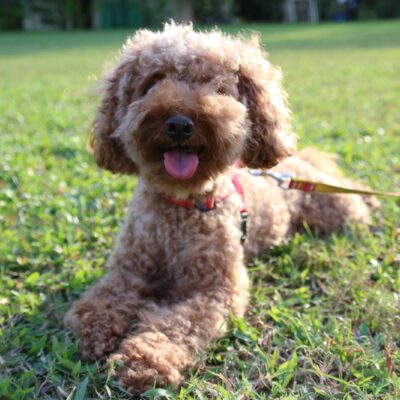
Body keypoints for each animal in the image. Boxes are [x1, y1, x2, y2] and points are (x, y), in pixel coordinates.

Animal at [65, 22, 376, 394]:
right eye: (154, 81)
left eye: (218, 87)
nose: (179, 123)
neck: (182, 207)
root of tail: (295, 168)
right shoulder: (129, 269)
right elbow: (104, 297)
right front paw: (93, 326)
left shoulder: (217, 289)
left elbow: (177, 325)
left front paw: (145, 358)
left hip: (338, 212)